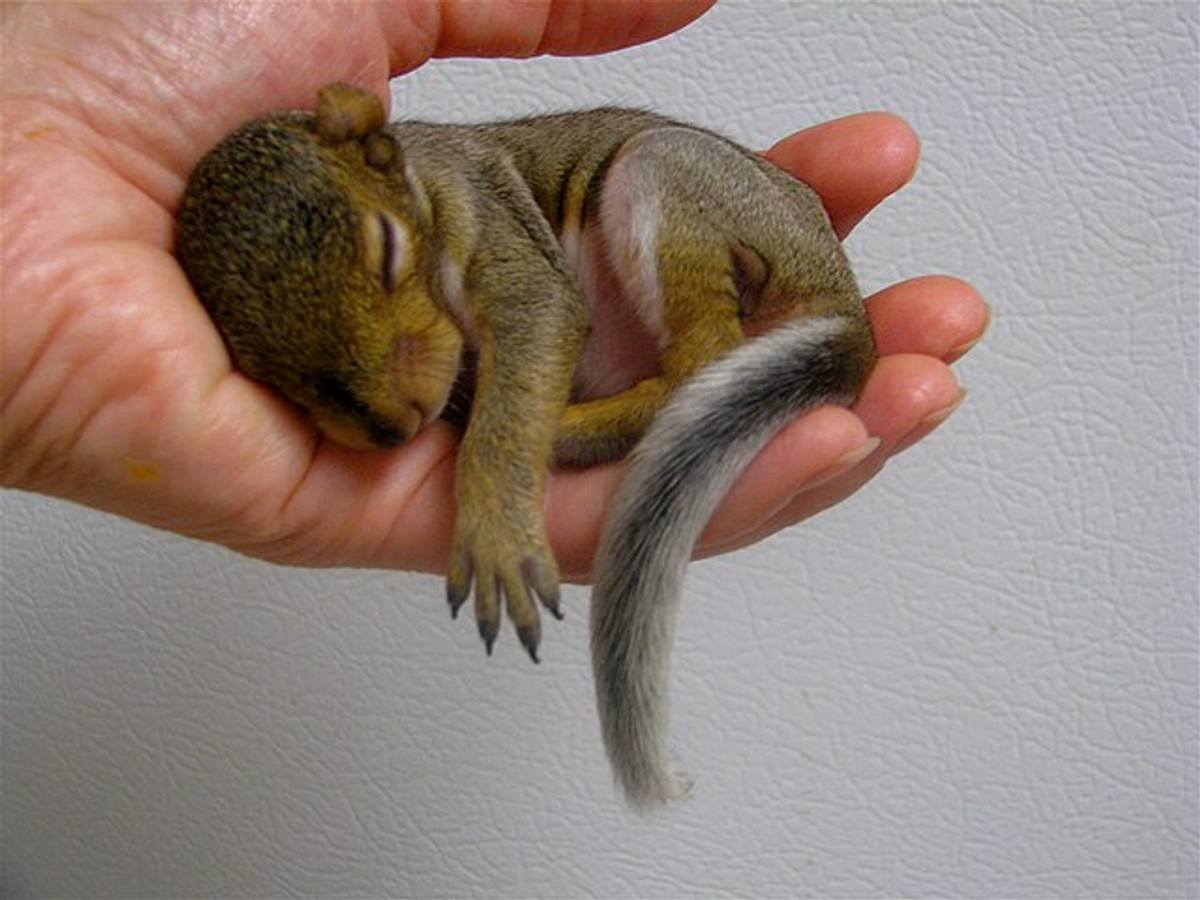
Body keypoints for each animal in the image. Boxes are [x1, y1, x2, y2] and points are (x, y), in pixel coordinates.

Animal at [176, 83, 875, 808]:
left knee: (701, 356)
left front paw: (496, 533)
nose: (394, 425)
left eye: (388, 249)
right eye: (258, 365)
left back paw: (571, 428)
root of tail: (843, 302)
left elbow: (533, 326)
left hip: (671, 173)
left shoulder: (485, 211)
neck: (420, 178)